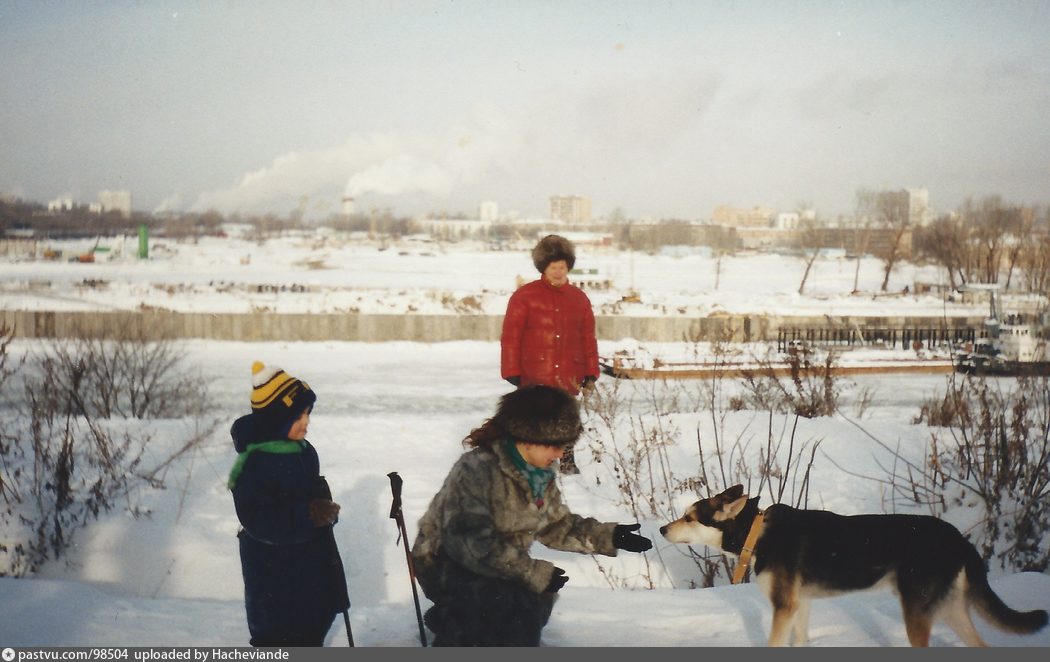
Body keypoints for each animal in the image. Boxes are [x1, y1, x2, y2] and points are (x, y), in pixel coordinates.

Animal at [659, 485, 1045, 647]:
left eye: (689, 518)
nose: (662, 529)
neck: (758, 532)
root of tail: (961, 540)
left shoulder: (783, 607)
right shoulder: (800, 605)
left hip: (918, 613)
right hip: (948, 609)